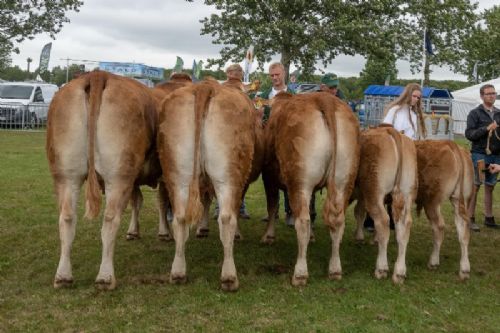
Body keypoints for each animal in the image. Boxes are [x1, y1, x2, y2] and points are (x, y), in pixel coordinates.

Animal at [47, 70, 158, 288]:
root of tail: (98, 74)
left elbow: (139, 200)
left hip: (66, 175)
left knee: (67, 218)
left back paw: (63, 276)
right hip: (118, 176)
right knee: (110, 218)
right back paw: (105, 277)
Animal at [157, 79, 258, 290]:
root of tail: (205, 85)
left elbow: (204, 202)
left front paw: (202, 229)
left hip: (178, 174)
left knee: (180, 218)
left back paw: (178, 272)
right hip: (228, 177)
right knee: (226, 218)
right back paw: (229, 277)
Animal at [262, 91, 360, 286]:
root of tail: (324, 98)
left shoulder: (268, 177)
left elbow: (272, 207)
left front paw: (269, 236)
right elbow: (312, 209)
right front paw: (313, 237)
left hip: (300, 181)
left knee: (303, 221)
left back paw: (300, 273)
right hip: (343, 180)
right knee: (338, 221)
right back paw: (335, 269)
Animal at [354, 127, 420, 282]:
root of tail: (390, 131)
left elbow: (358, 212)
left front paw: (359, 237)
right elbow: (360, 211)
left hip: (374, 191)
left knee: (383, 221)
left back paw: (381, 268)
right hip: (407, 193)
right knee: (404, 226)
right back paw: (399, 272)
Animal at [414, 139, 472, 278]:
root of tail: (450, 144)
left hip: (432, 201)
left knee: (439, 227)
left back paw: (433, 261)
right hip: (460, 199)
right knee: (463, 229)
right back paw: (464, 269)